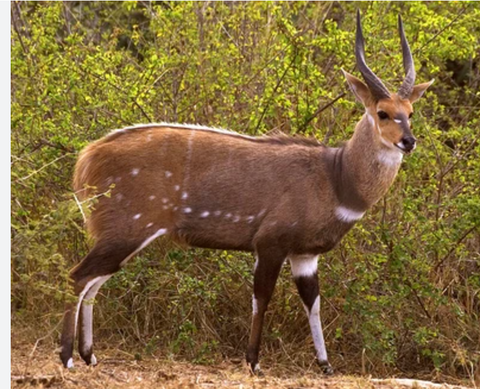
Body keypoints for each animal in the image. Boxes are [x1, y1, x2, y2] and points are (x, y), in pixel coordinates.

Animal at [61, 12, 436, 374]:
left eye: (411, 113)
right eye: (382, 113)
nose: (409, 141)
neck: (336, 178)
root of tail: (88, 157)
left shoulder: (305, 255)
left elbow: (312, 302)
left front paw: (326, 365)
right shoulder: (270, 241)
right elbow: (262, 296)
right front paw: (254, 362)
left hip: (124, 234)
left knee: (96, 280)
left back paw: (89, 356)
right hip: (128, 228)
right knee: (79, 275)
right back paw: (67, 357)